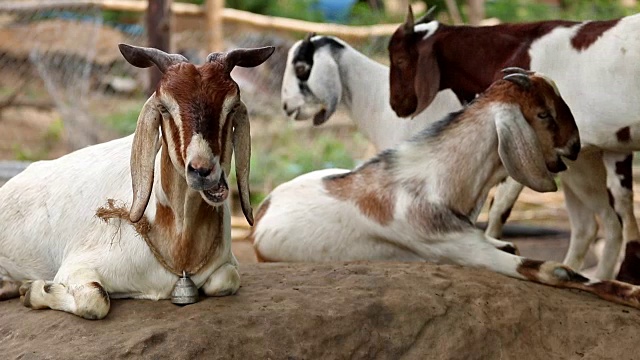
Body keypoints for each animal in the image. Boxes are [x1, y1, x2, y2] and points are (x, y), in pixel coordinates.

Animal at [0, 43, 274, 320]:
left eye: (232, 106)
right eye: (164, 107)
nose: (202, 170)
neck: (180, 248)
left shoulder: (227, 266)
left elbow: (226, 280)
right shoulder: (76, 267)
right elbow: (95, 300)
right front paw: (33, 290)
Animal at [252, 70, 640, 310]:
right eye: (543, 114)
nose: (575, 146)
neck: (435, 182)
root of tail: (263, 208)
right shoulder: (462, 251)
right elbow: (558, 271)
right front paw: (633, 294)